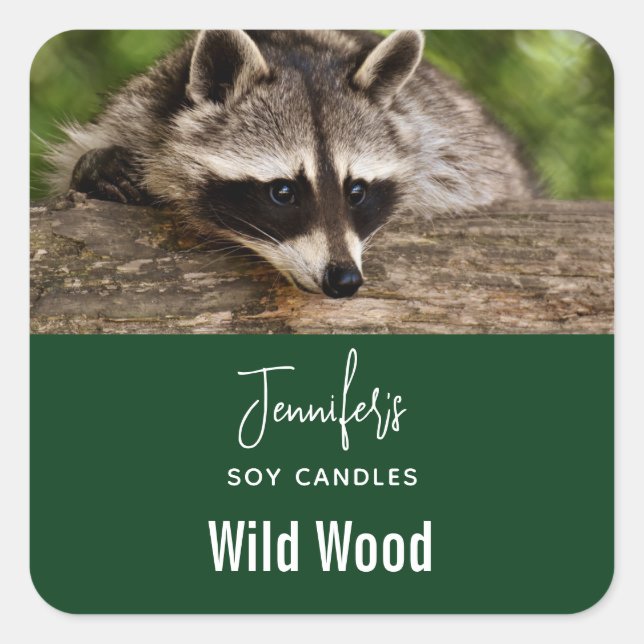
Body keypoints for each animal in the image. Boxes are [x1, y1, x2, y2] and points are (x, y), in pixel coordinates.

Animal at [48, 30, 536, 298]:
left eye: (356, 191)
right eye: (283, 192)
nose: (344, 280)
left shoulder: (448, 144)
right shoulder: (138, 110)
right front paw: (97, 169)